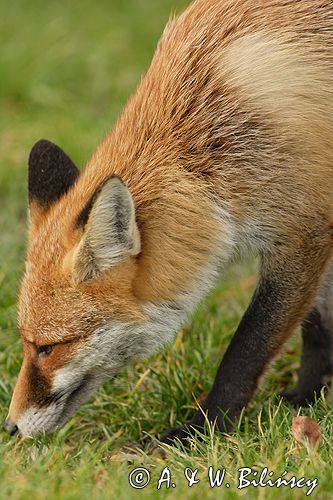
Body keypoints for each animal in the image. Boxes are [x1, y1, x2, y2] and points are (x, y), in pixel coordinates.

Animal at [3, 0, 332, 442]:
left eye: (48, 348)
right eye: (26, 344)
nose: (10, 427)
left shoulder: (303, 231)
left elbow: (248, 348)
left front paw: (203, 429)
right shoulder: (316, 227)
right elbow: (319, 324)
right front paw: (310, 397)